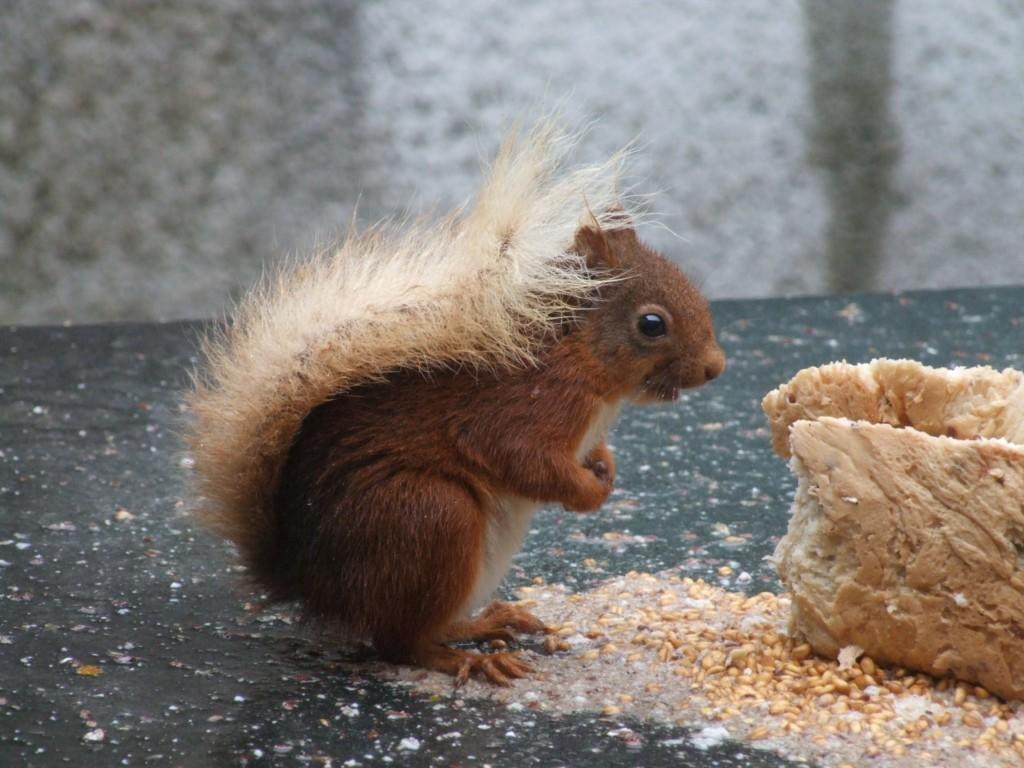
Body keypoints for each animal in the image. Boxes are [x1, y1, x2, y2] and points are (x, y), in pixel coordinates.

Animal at [186, 120, 729, 684]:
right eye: (652, 324)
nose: (716, 366)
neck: (575, 355)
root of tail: (304, 580)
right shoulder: (523, 407)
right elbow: (523, 460)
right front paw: (589, 492)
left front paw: (606, 465)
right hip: (431, 515)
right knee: (400, 644)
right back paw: (468, 658)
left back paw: (486, 622)